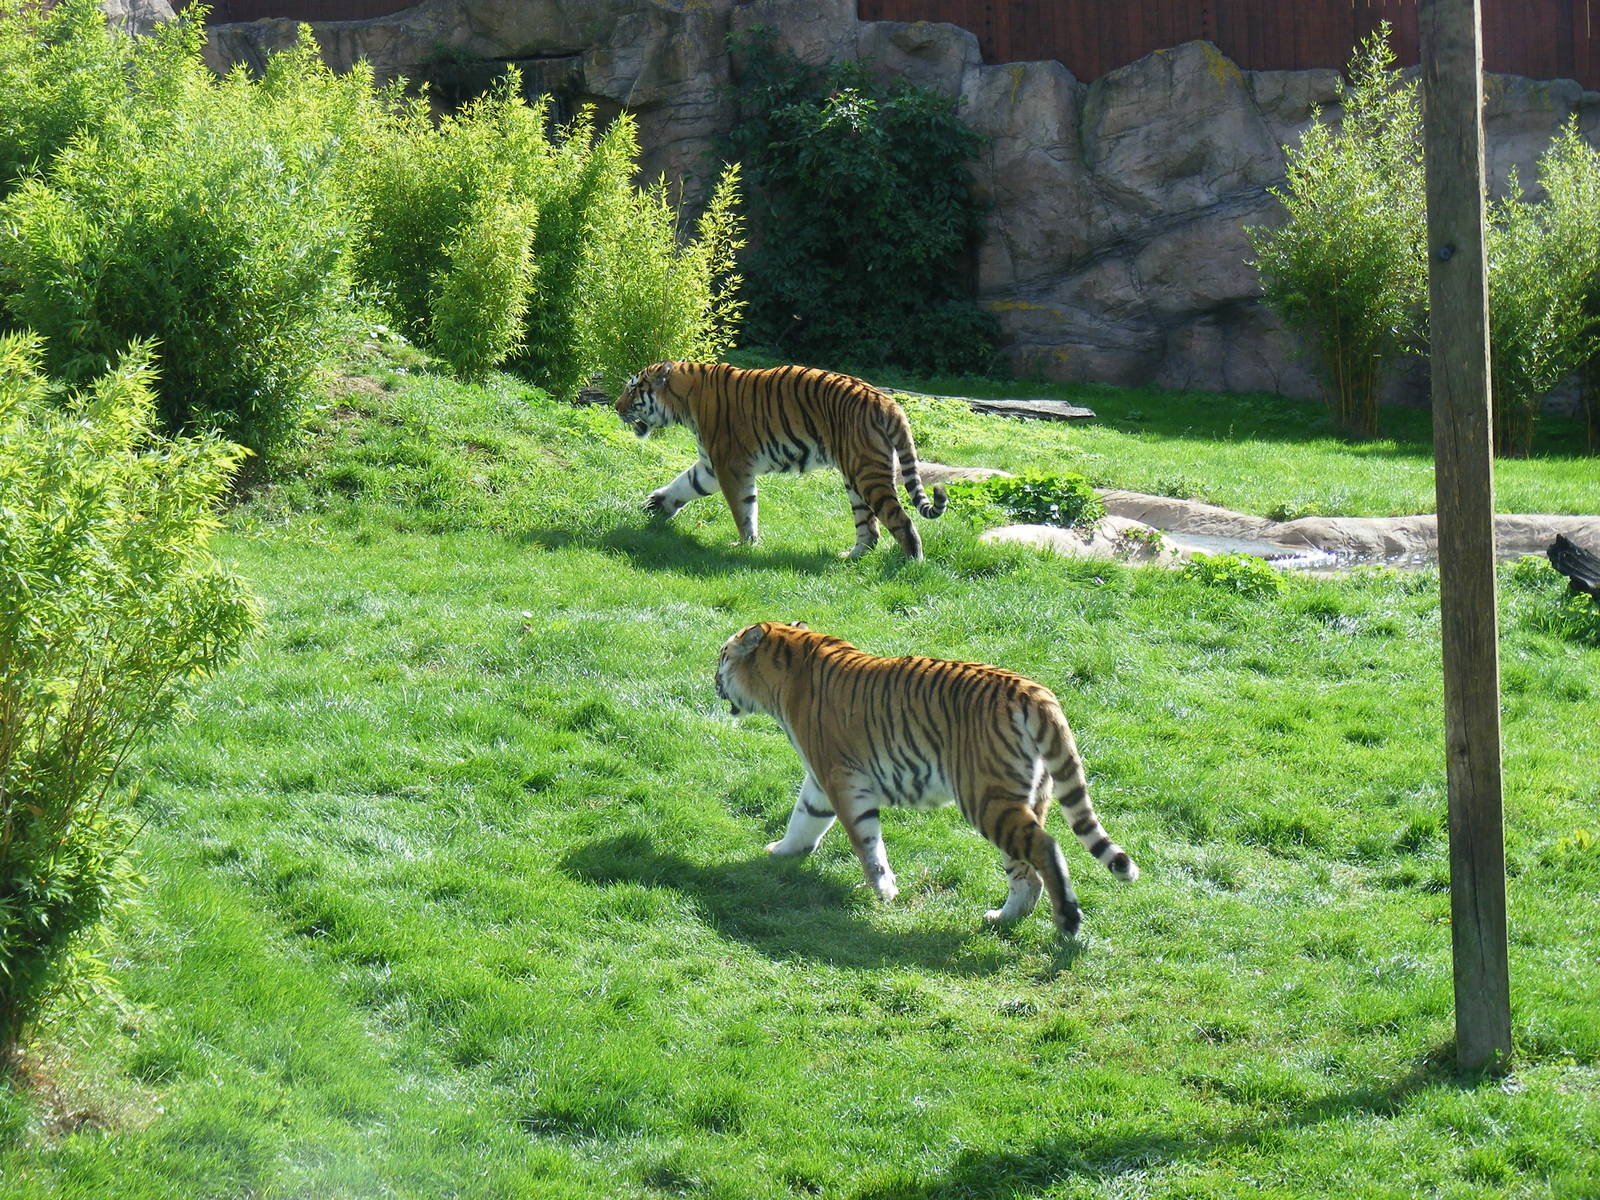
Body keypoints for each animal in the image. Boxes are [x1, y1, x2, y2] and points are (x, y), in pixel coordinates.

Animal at [615, 361, 947, 559]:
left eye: (633, 388)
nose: (617, 407)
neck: (684, 401)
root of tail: (887, 401)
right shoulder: (710, 466)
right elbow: (685, 484)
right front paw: (656, 504)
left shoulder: (729, 465)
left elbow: (743, 510)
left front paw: (745, 544)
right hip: (856, 476)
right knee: (870, 528)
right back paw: (850, 557)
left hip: (867, 473)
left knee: (900, 520)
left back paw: (911, 561)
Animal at [714, 621, 1140, 937]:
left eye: (723, 655)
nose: (713, 680)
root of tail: (1033, 690)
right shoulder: (821, 782)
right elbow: (804, 819)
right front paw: (783, 852)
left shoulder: (841, 779)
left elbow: (866, 842)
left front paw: (883, 890)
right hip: (1022, 800)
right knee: (1026, 870)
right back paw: (1003, 918)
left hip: (985, 798)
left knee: (1045, 848)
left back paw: (1067, 921)